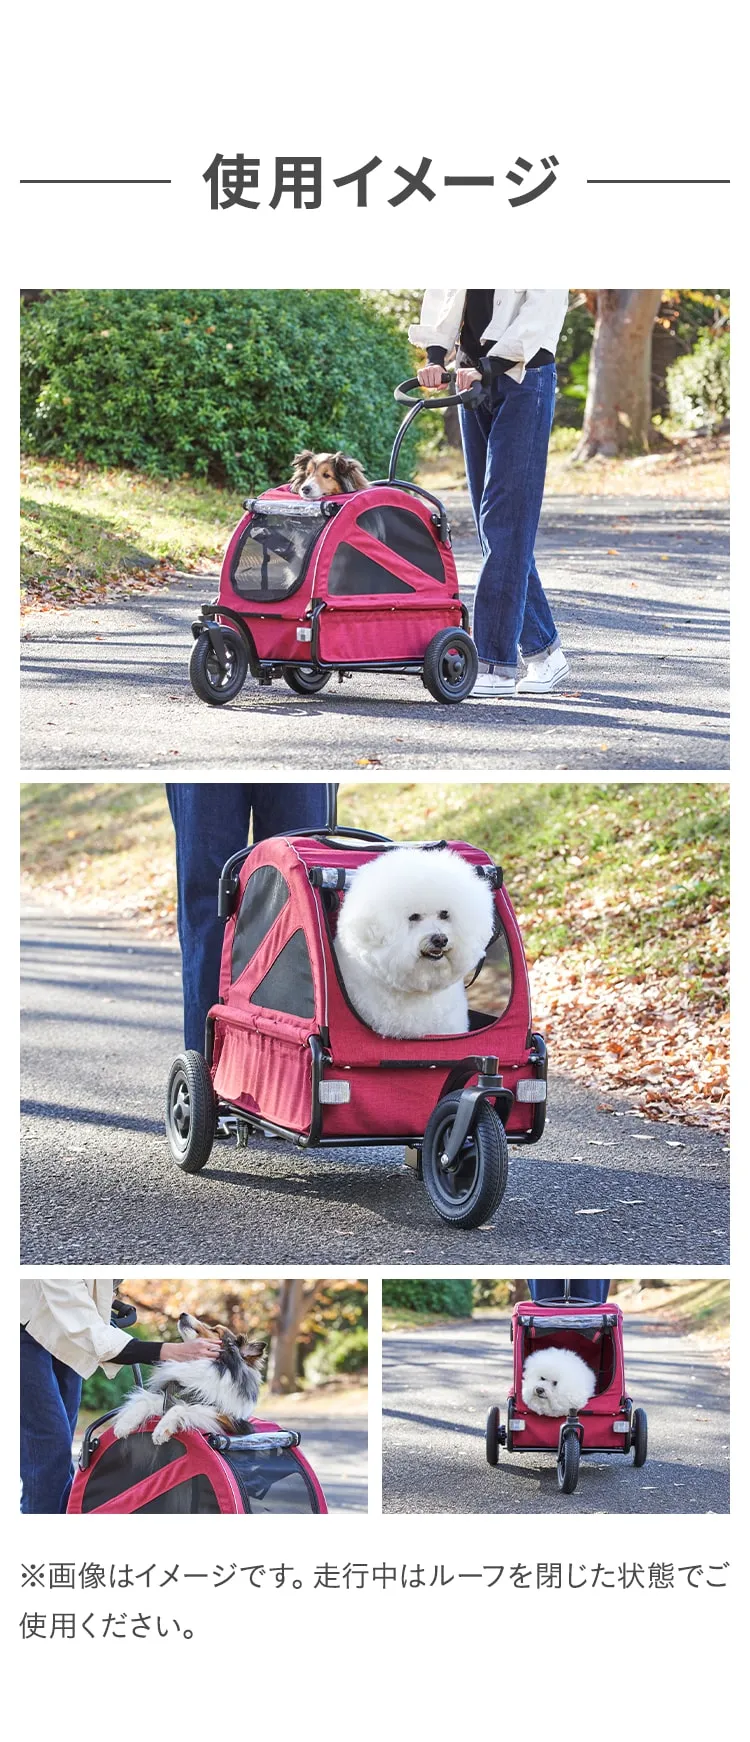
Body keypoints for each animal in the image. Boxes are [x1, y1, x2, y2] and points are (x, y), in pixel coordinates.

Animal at [110, 1309, 266, 1449]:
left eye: (215, 1330)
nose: (182, 1314)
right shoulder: (169, 1396)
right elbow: (145, 1401)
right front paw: (124, 1424)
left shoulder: (225, 1417)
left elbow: (181, 1408)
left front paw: (161, 1430)